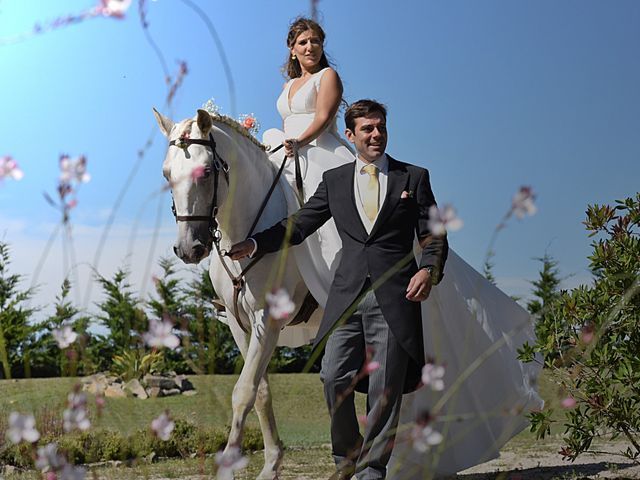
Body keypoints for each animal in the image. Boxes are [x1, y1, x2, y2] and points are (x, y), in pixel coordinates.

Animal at [155, 109, 310, 480]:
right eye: (167, 174)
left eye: (207, 171)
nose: (188, 249)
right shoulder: (239, 324)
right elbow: (260, 391)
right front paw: (271, 464)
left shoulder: (269, 321)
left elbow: (243, 392)